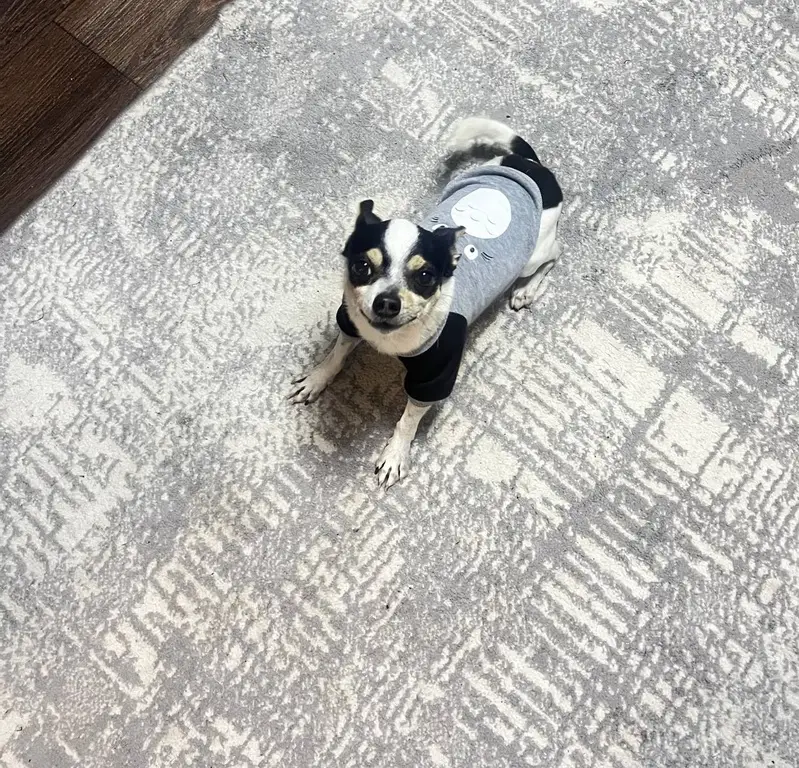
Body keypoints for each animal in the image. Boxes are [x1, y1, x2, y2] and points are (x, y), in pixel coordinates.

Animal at [289, 117, 564, 488]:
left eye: (425, 276)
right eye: (362, 267)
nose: (387, 303)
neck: (389, 340)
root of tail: (530, 164)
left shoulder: (435, 376)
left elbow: (408, 420)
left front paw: (395, 454)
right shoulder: (350, 321)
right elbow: (336, 354)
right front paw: (318, 378)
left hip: (532, 257)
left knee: (555, 255)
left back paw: (526, 291)